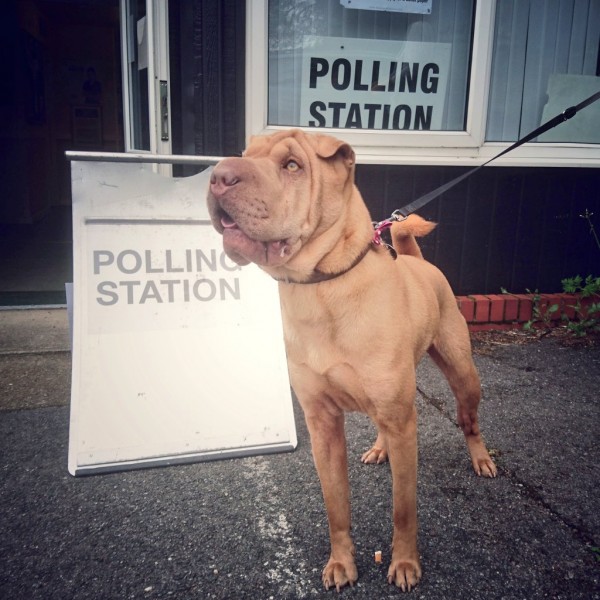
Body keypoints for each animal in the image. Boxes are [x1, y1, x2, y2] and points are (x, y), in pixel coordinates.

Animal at [206, 129, 496, 592]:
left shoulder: (403, 420)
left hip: (463, 374)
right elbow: (335, 505)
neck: (322, 287)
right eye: (246, 155)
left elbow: (403, 509)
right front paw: (341, 562)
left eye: (292, 165)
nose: (219, 176)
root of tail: (418, 262)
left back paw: (481, 458)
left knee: (469, 420)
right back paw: (379, 449)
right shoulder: (322, 422)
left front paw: (405, 563)